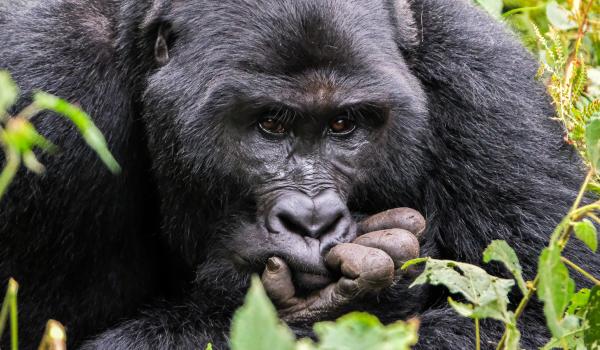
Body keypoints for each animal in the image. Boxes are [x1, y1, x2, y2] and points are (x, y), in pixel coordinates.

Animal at [1, 0, 600, 348]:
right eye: (270, 123)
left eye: (343, 124)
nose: (312, 221)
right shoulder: (44, 83)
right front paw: (342, 304)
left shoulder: (483, 75)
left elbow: (532, 318)